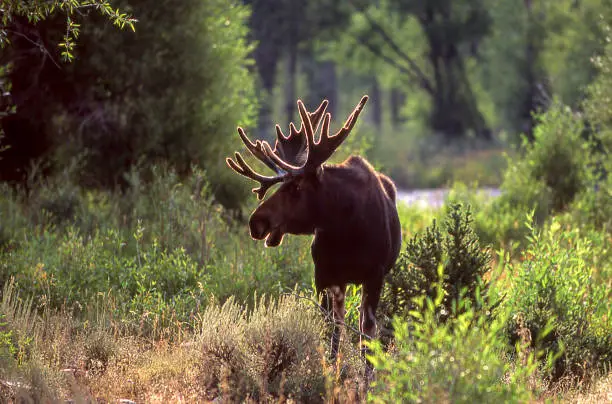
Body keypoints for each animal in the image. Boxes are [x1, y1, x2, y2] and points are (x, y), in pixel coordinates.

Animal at [225, 96, 402, 378]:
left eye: (296, 187)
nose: (255, 222)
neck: (345, 229)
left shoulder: (375, 275)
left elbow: (367, 332)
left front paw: (368, 376)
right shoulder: (323, 275)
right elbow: (330, 328)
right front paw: (330, 371)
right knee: (341, 320)